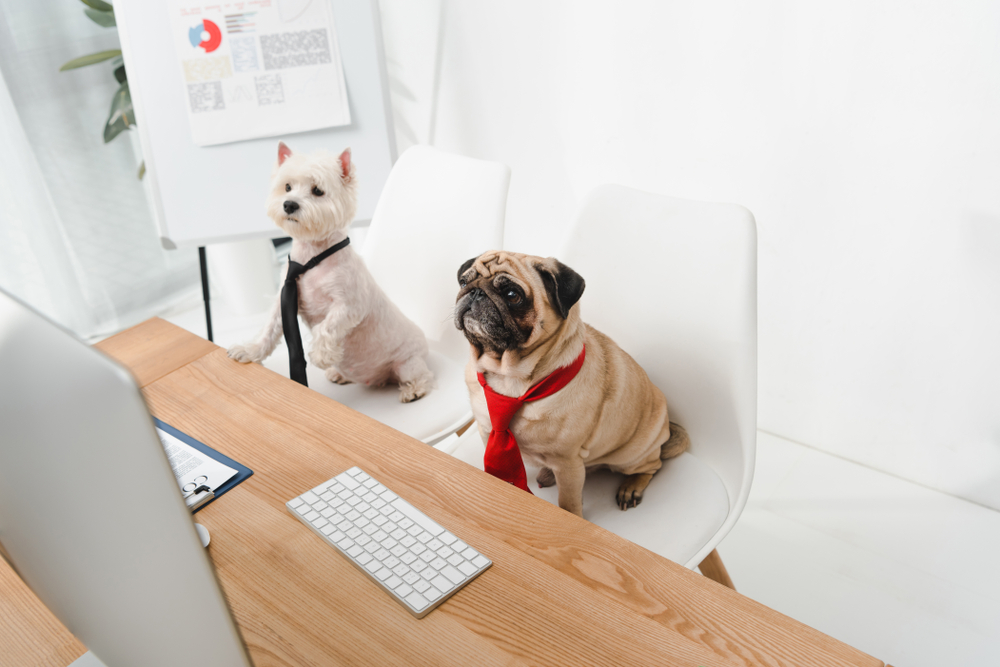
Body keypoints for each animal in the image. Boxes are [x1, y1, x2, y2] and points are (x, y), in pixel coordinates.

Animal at [230, 141, 434, 402]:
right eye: (287, 187)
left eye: (317, 190)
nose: (289, 204)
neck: (312, 258)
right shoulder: (282, 300)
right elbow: (268, 330)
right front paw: (248, 351)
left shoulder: (349, 305)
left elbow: (326, 326)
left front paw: (320, 355)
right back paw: (339, 374)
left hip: (408, 361)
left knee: (421, 375)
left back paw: (413, 390)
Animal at [454, 250, 688, 516]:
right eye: (463, 282)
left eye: (513, 295)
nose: (475, 292)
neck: (508, 376)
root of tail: (666, 426)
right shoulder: (486, 431)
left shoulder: (567, 463)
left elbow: (569, 505)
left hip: (630, 456)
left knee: (652, 466)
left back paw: (631, 487)